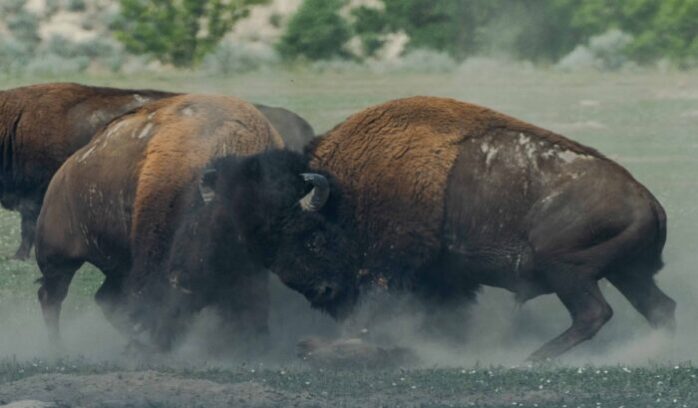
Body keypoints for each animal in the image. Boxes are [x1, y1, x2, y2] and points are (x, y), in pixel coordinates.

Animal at [35, 94, 283, 350]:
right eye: (200, 229)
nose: (182, 281)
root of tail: (63, 172)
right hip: (58, 259)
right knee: (51, 296)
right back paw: (58, 348)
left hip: (117, 266)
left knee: (105, 299)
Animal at [197, 96, 676, 361]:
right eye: (264, 252)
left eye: (310, 236)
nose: (322, 291)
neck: (345, 190)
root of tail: (649, 200)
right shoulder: (444, 279)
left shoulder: (387, 270)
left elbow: (377, 308)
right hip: (626, 273)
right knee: (658, 307)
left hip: (567, 271)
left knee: (594, 313)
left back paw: (532, 357)